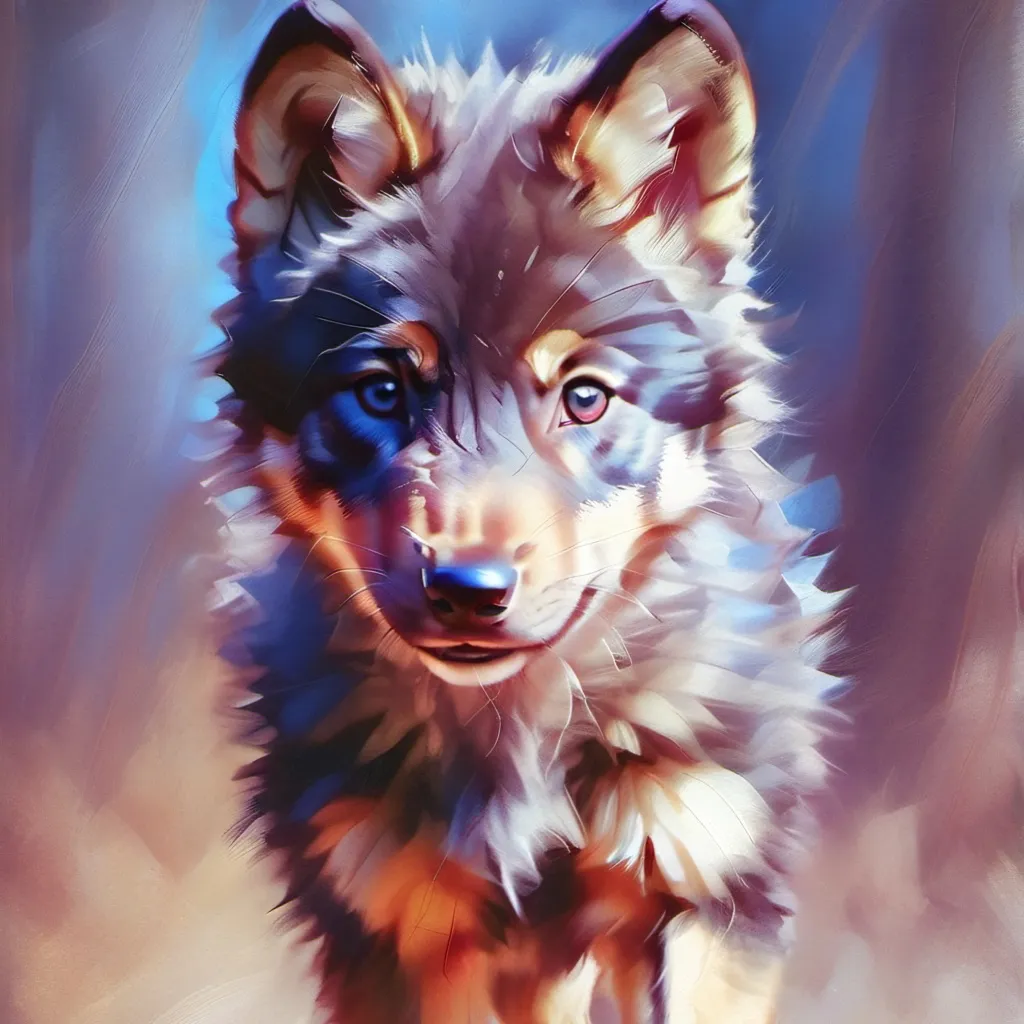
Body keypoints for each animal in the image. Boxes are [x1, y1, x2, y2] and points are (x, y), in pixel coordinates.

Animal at [209, 1, 845, 1020]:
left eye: (584, 398)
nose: (468, 589)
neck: (518, 743)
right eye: (383, 392)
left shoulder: (710, 897)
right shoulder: (404, 941)